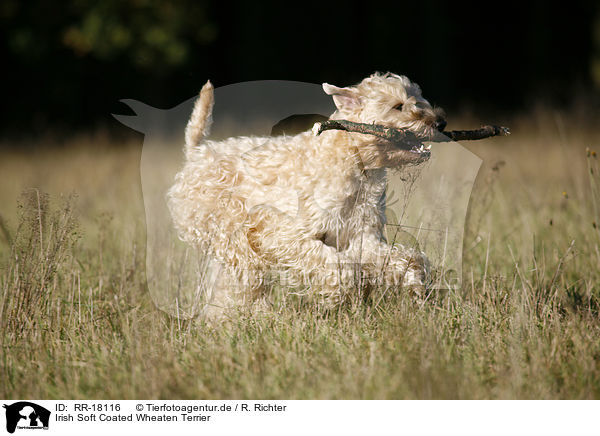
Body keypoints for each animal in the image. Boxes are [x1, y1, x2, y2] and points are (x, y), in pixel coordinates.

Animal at [166, 70, 448, 316]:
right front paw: (339, 294)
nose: (440, 121)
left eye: (418, 98)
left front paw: (414, 284)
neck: (355, 159)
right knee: (241, 283)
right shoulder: (285, 233)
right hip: (234, 239)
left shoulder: (362, 236)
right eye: (398, 106)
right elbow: (336, 267)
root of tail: (197, 152)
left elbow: (404, 258)